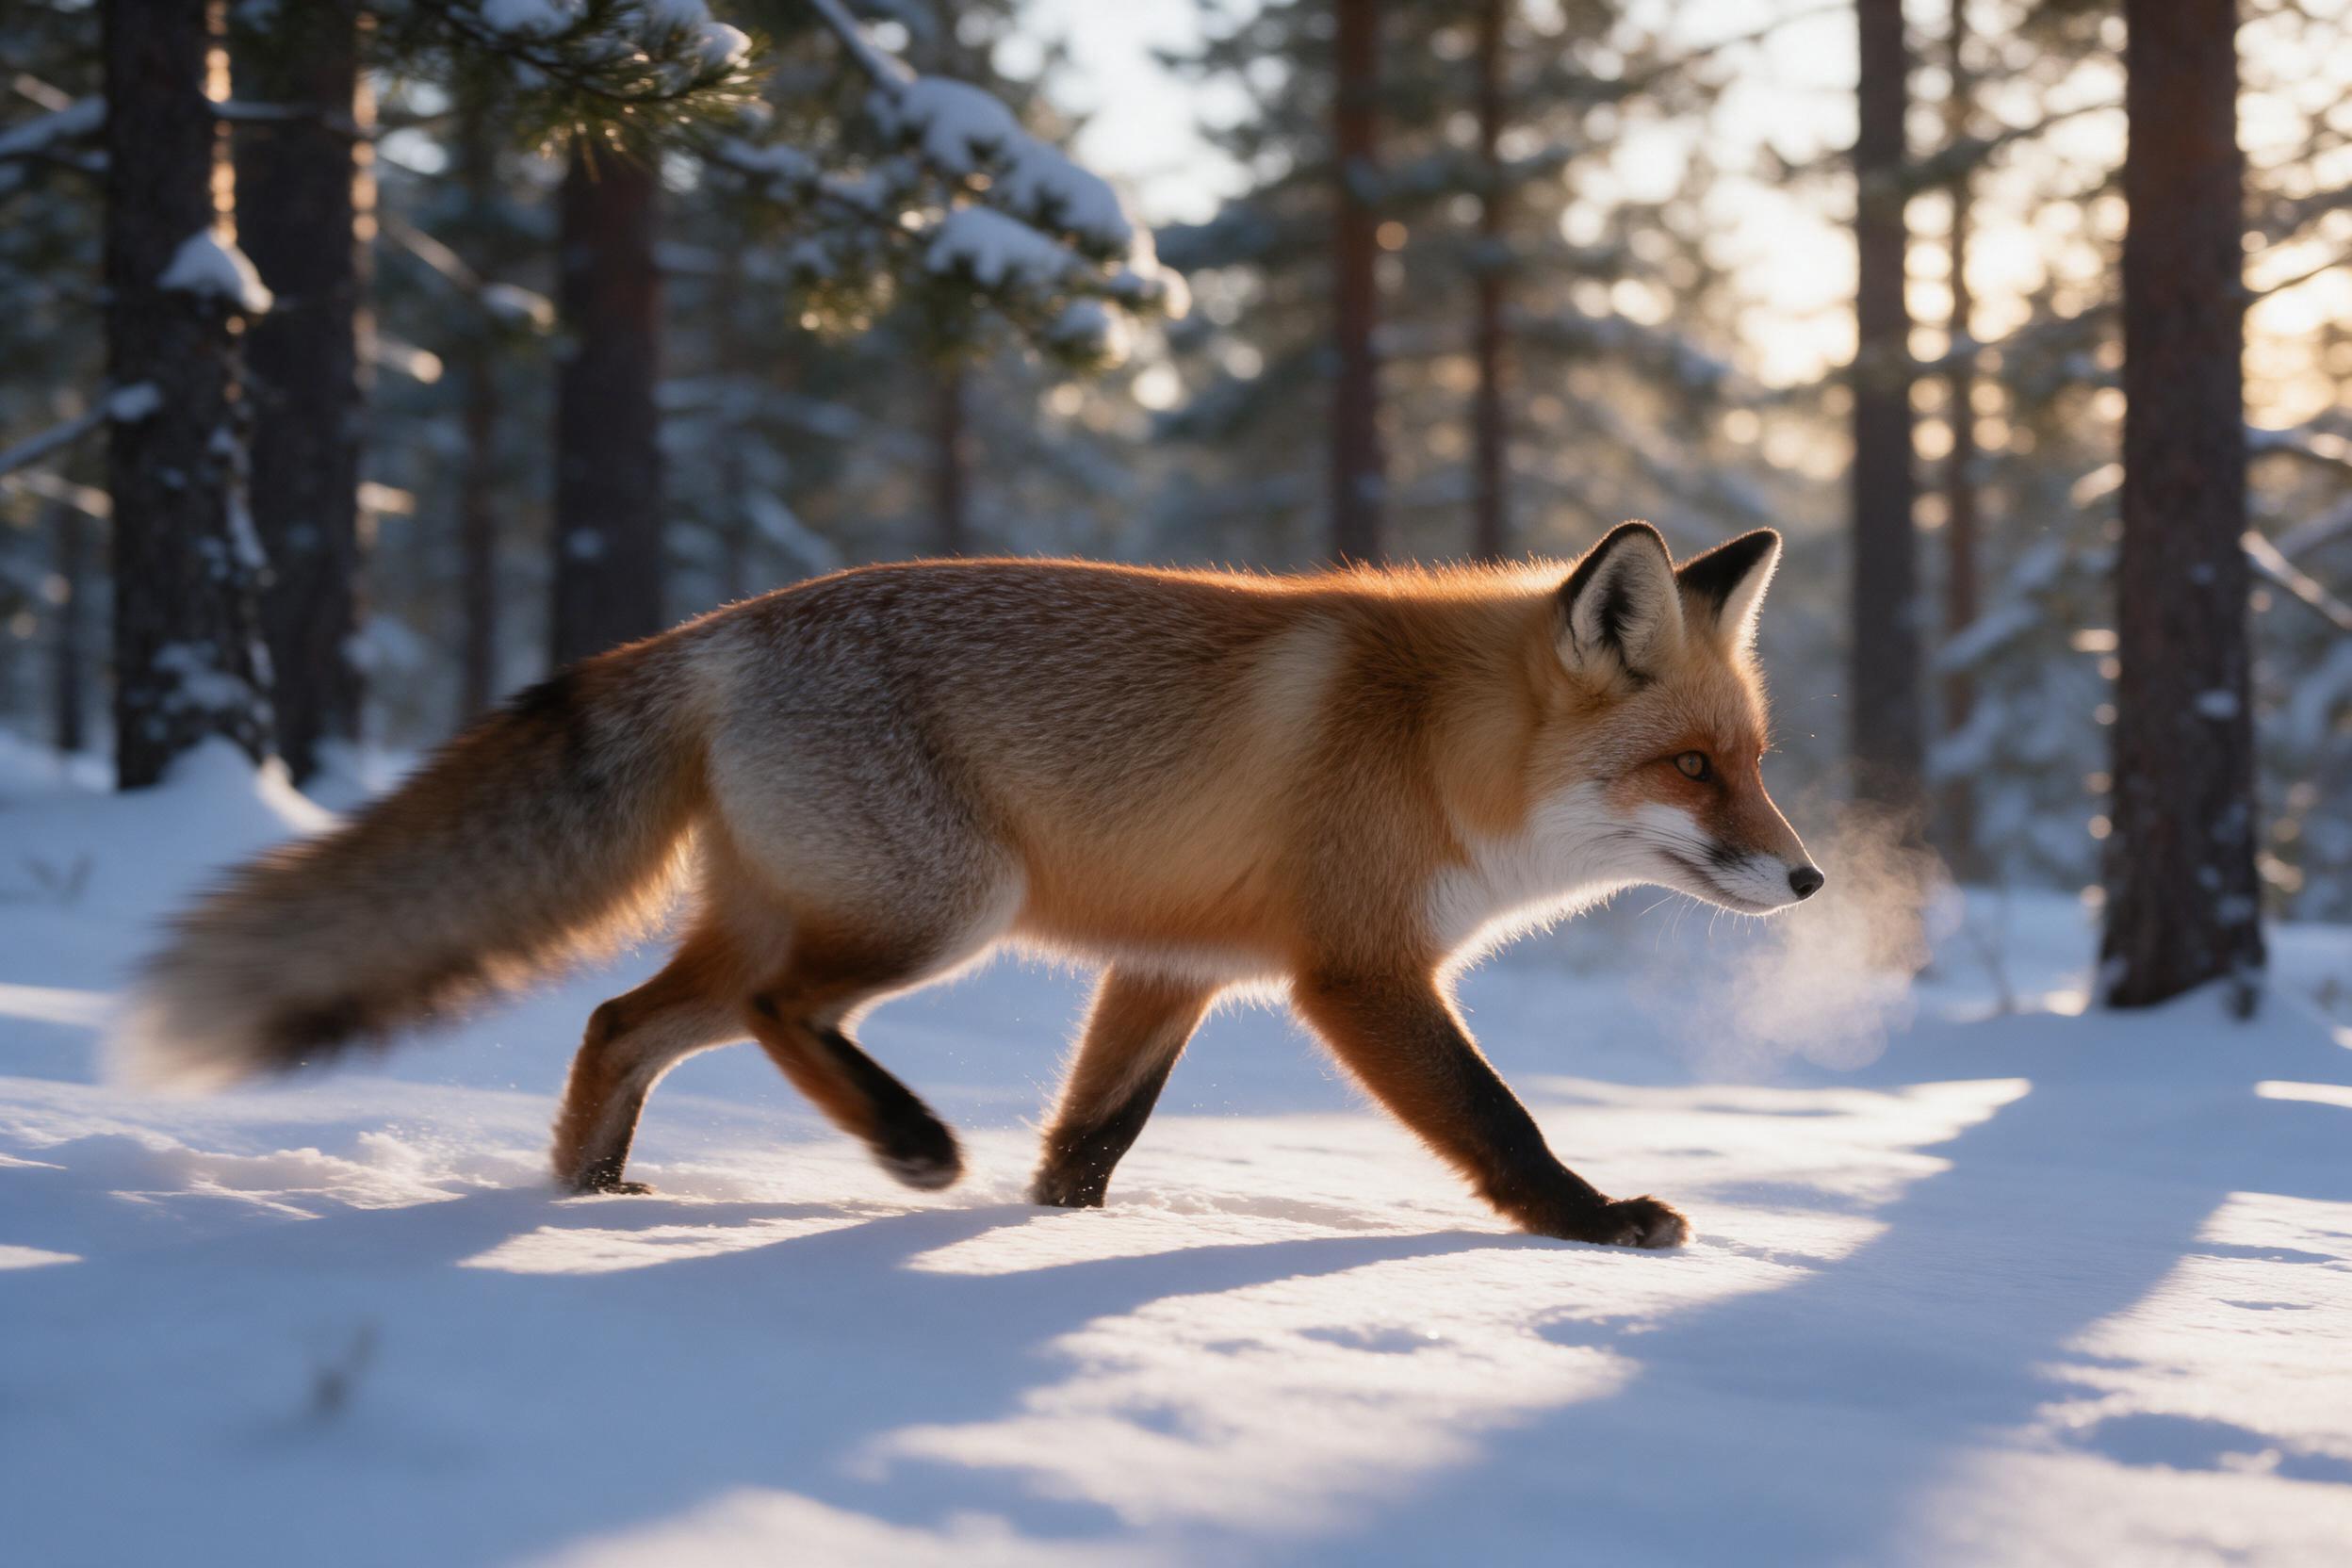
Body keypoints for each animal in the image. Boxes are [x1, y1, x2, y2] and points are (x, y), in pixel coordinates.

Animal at [115, 521, 1820, 1248]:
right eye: (1689, 768)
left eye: (1753, 760)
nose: (1806, 878)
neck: (1434, 746)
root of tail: (716, 630)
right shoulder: (1354, 971)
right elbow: (1498, 1118)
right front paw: (1592, 1223)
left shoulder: (1177, 963)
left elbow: (1095, 1131)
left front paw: (1055, 1229)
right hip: (941, 910)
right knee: (775, 1009)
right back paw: (908, 1141)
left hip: (801, 915)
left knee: (622, 1021)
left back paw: (586, 1198)